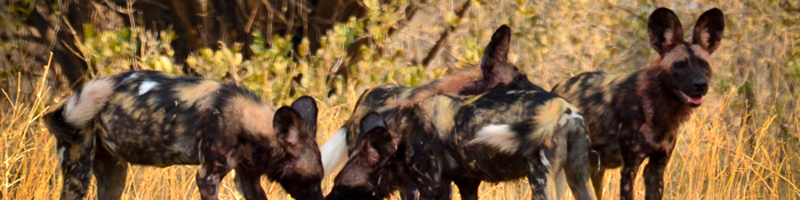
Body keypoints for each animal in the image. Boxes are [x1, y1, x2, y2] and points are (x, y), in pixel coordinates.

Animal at [43, 70, 324, 200]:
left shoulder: (248, 179)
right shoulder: (208, 177)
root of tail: (65, 102)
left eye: (320, 179)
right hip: (79, 172)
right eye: (312, 179)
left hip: (114, 176)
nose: (322, 199)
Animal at [552, 7, 724, 200]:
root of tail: (556, 87)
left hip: (595, 170)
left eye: (704, 64)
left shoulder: (656, 168)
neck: (658, 112)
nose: (700, 85)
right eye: (679, 65)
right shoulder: (629, 169)